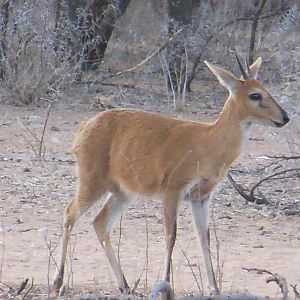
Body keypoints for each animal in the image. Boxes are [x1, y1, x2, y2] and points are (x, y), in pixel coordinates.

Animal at [53, 55, 288, 294]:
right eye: (255, 95)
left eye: (265, 88)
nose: (284, 117)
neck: (208, 143)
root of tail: (83, 129)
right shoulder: (173, 191)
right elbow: (171, 236)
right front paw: (166, 285)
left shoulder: (201, 196)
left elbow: (204, 238)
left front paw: (214, 288)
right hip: (93, 181)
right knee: (70, 214)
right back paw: (58, 282)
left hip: (123, 192)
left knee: (99, 223)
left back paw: (125, 285)